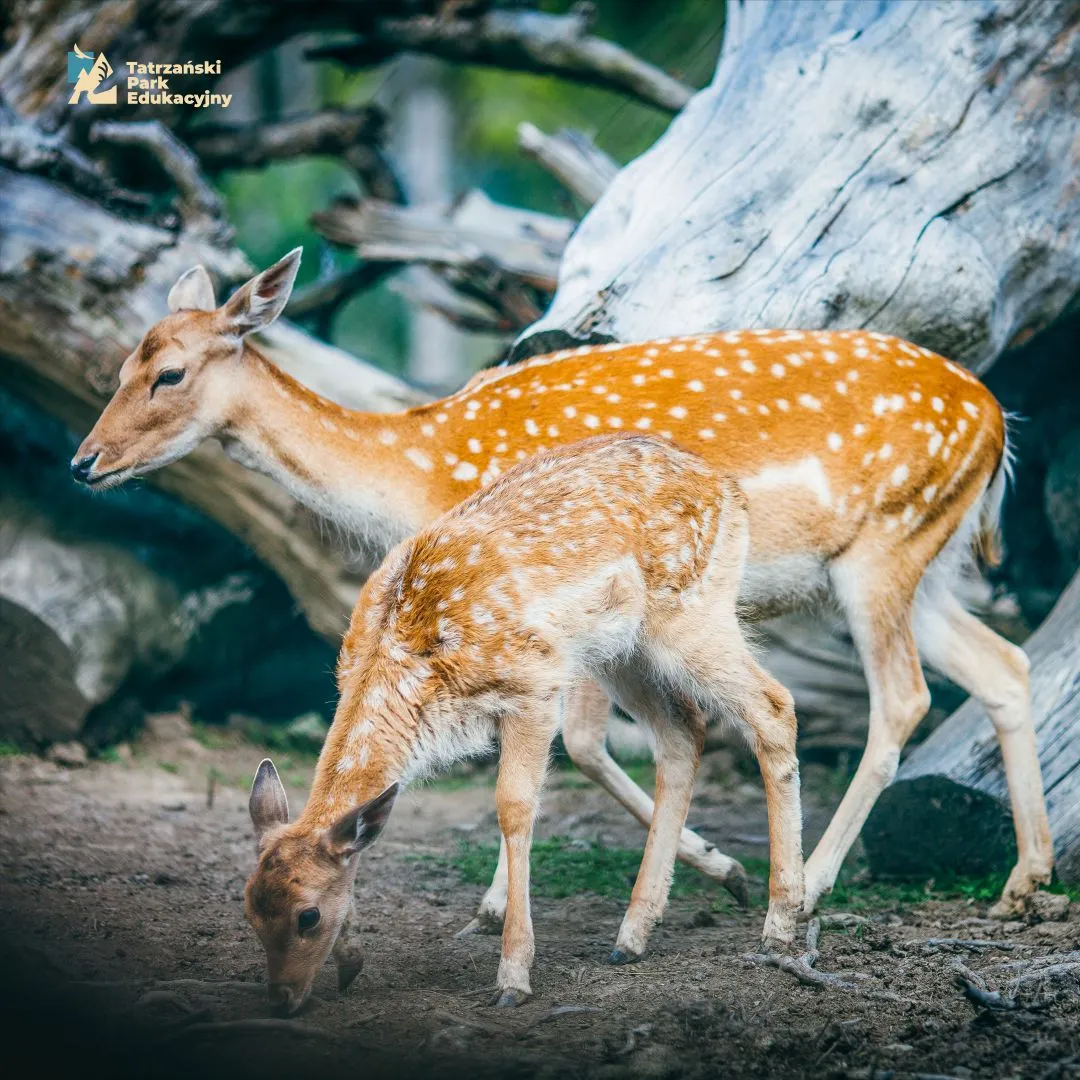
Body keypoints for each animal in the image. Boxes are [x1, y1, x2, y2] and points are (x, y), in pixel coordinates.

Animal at [74, 248, 1054, 922]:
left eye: (168, 373)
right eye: (119, 365)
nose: (85, 462)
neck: (422, 471)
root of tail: (1002, 423)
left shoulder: (550, 598)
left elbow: (578, 743)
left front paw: (516, 906)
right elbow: (588, 744)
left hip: (882, 552)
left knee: (902, 699)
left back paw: (808, 886)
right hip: (927, 564)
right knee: (1005, 667)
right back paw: (1024, 883)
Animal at [244, 433, 802, 1011]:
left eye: (308, 916)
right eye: (250, 912)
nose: (280, 999)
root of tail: (730, 490)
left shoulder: (533, 684)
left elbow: (513, 807)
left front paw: (513, 976)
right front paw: (353, 960)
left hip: (692, 617)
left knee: (773, 705)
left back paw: (781, 923)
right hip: (624, 654)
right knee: (683, 732)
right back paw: (634, 934)